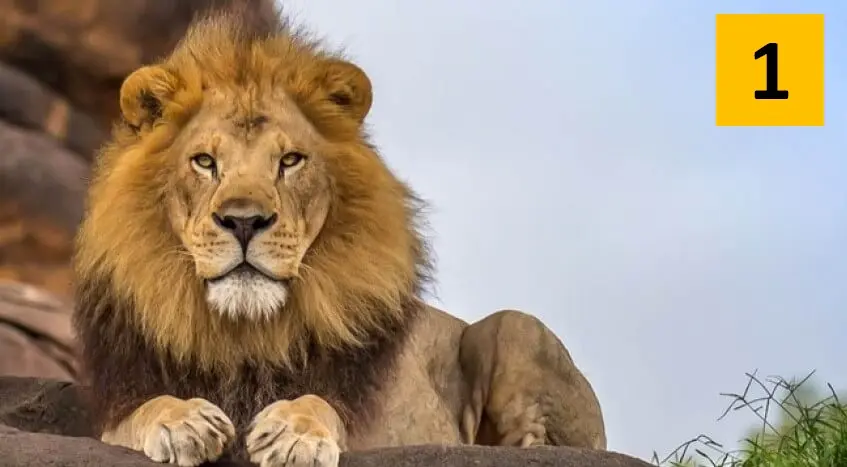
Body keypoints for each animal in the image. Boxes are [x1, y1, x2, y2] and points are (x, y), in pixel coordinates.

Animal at [71, 5, 606, 467]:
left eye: (290, 161)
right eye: (204, 161)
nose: (244, 222)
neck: (245, 335)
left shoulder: (369, 421)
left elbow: (320, 403)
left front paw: (294, 432)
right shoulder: (118, 403)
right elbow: (142, 410)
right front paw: (183, 421)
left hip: (516, 328)